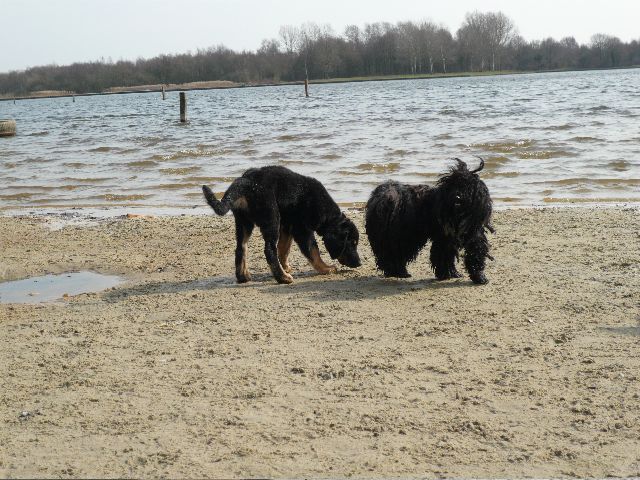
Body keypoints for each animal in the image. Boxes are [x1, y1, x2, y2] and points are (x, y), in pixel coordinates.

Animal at [202, 166, 361, 284]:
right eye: (351, 243)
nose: (359, 263)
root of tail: (247, 181)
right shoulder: (302, 230)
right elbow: (313, 251)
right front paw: (325, 268)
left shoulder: (287, 227)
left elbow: (284, 249)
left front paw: (286, 266)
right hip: (272, 218)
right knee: (269, 250)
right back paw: (282, 278)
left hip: (244, 222)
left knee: (241, 248)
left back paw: (243, 276)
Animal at [365, 158, 494, 284]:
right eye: (452, 185)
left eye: (467, 186)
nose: (457, 197)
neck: (458, 215)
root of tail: (384, 197)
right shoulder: (443, 237)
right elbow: (443, 255)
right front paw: (447, 274)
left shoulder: (471, 235)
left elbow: (474, 254)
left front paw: (477, 276)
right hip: (401, 236)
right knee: (393, 254)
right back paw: (399, 272)